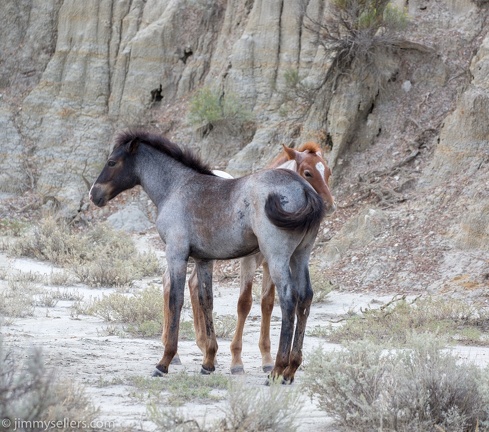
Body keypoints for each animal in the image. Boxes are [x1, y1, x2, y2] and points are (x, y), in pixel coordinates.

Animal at [89, 130, 326, 384]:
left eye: (111, 162)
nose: (94, 194)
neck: (177, 187)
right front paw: (208, 361)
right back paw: (291, 370)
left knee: (289, 299)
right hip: (300, 255)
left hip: (277, 256)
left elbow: (176, 300)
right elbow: (206, 300)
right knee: (305, 297)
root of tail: (304, 189)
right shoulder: (203, 260)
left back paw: (277, 370)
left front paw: (164, 362)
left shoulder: (176, 253)